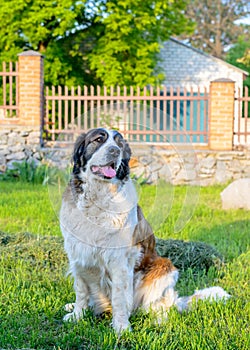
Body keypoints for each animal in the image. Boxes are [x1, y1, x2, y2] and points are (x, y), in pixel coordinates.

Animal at [59, 129, 230, 334]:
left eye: (120, 144)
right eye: (99, 139)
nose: (115, 151)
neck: (99, 198)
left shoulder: (119, 260)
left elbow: (119, 297)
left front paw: (121, 328)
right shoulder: (77, 255)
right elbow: (81, 291)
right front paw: (77, 315)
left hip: (164, 268)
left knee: (160, 307)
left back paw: (157, 321)